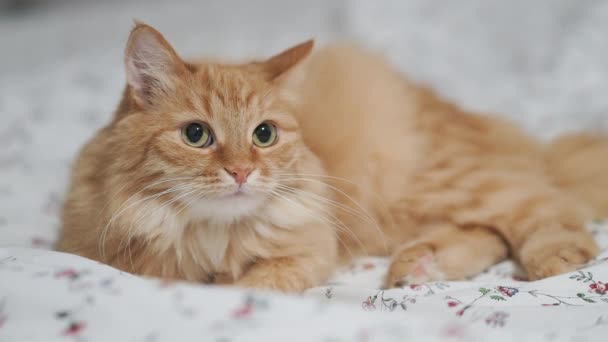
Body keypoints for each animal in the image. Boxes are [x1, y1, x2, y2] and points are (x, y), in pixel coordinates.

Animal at [57, 23, 608, 292]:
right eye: (196, 135)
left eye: (263, 134)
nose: (242, 171)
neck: (211, 239)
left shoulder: (304, 253)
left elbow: (255, 287)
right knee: (489, 230)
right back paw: (421, 266)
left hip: (437, 182)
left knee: (545, 209)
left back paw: (555, 258)